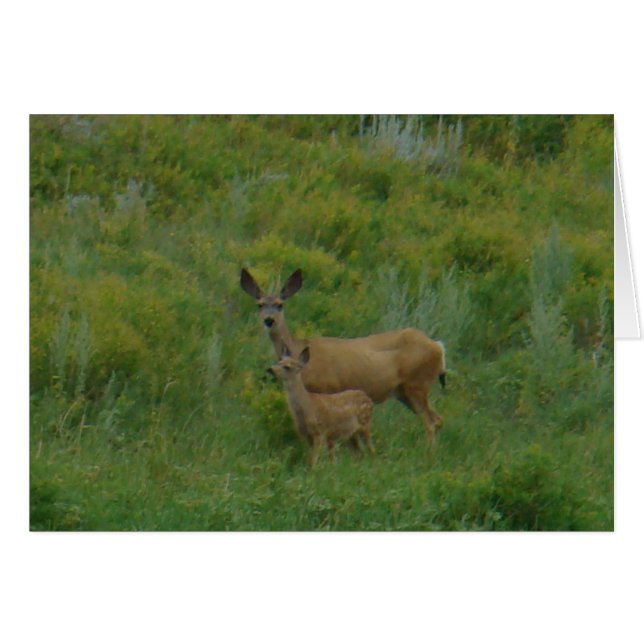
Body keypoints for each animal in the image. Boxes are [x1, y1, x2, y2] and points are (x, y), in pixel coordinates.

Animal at [241, 267, 447, 445]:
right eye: (260, 305)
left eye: (279, 305)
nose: (269, 320)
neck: (299, 351)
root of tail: (437, 346)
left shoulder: (328, 388)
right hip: (404, 391)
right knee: (437, 419)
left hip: (417, 383)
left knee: (430, 422)